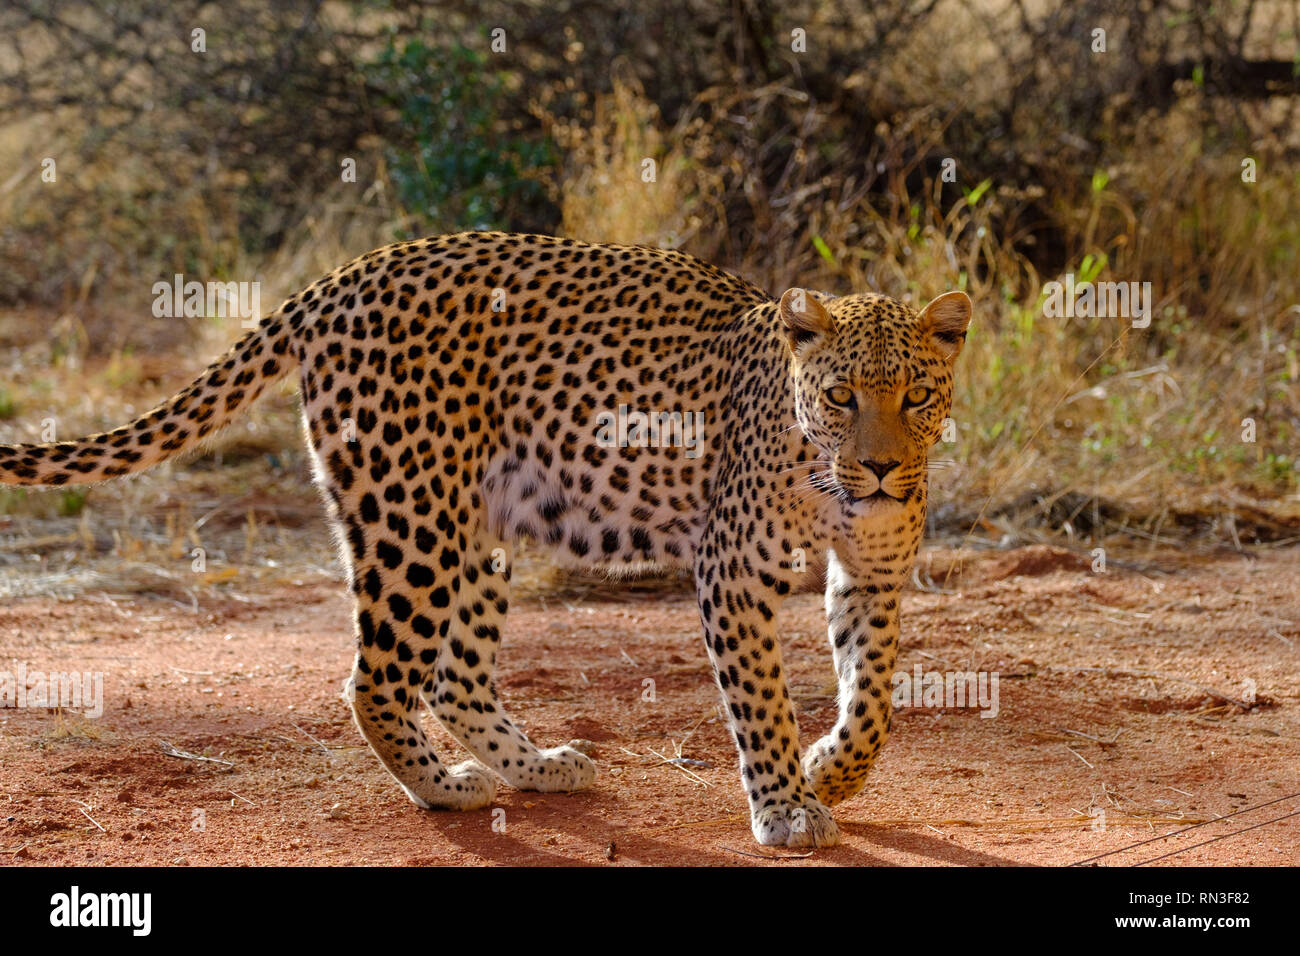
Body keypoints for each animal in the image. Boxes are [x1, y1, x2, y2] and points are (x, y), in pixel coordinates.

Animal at [0, 232, 971, 847]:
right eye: (841, 397)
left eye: (916, 397)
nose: (880, 469)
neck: (830, 484)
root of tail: (340, 276)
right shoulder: (731, 573)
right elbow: (762, 700)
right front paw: (786, 806)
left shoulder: (872, 576)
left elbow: (874, 699)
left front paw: (830, 771)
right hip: (409, 513)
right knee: (377, 675)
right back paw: (443, 788)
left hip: (479, 522)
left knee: (453, 672)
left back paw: (535, 767)